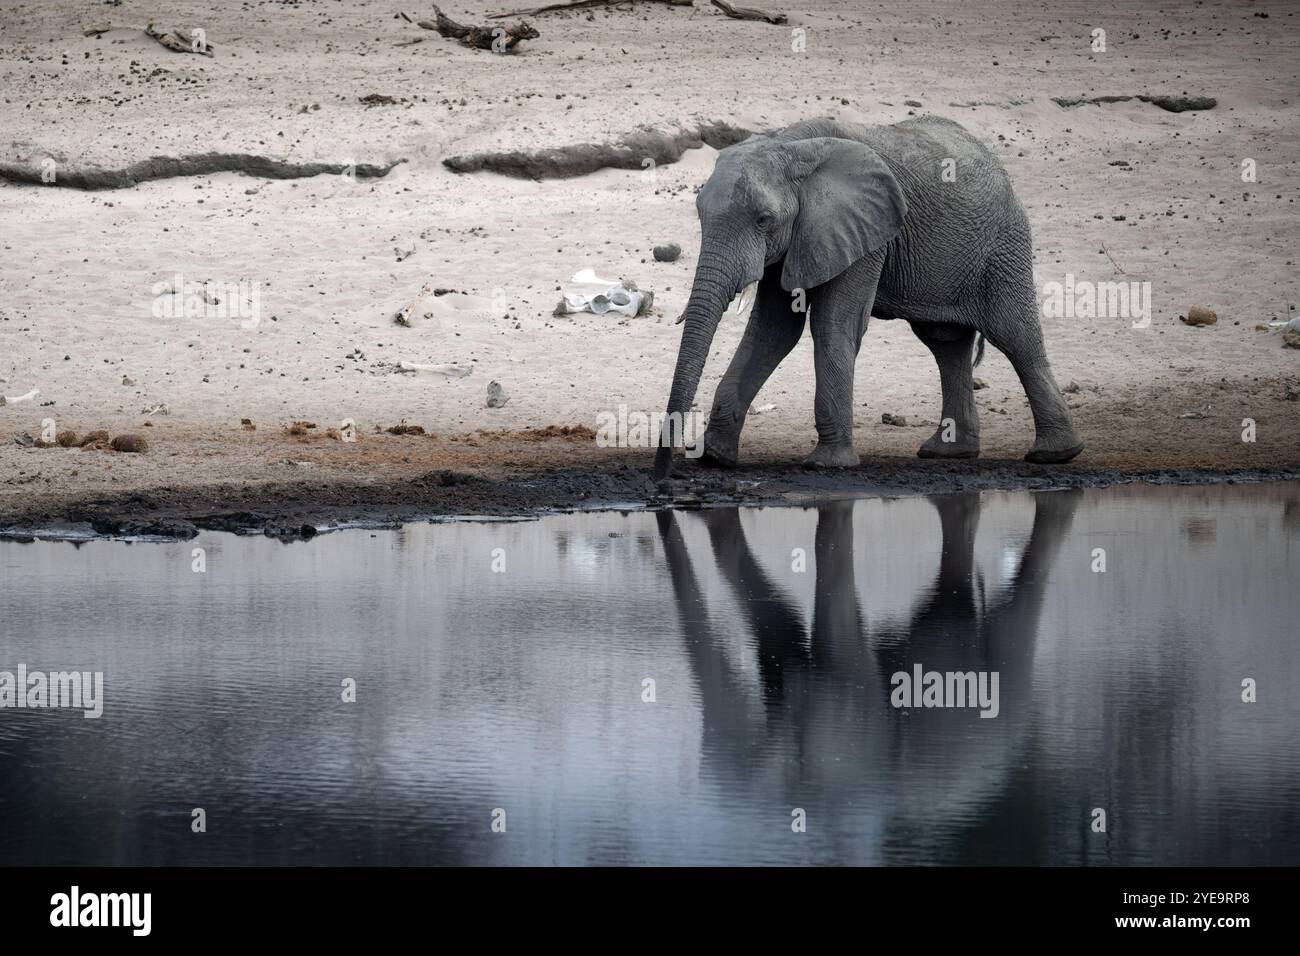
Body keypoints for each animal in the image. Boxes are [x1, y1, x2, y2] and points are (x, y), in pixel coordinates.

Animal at [650, 117, 1086, 481]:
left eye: (763, 220)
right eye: (700, 215)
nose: (663, 477)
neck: (790, 146)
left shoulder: (862, 235)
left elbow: (832, 325)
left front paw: (827, 465)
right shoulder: (801, 238)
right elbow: (772, 331)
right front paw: (717, 458)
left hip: (1002, 243)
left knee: (1015, 336)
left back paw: (1054, 455)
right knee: (946, 343)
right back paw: (948, 453)